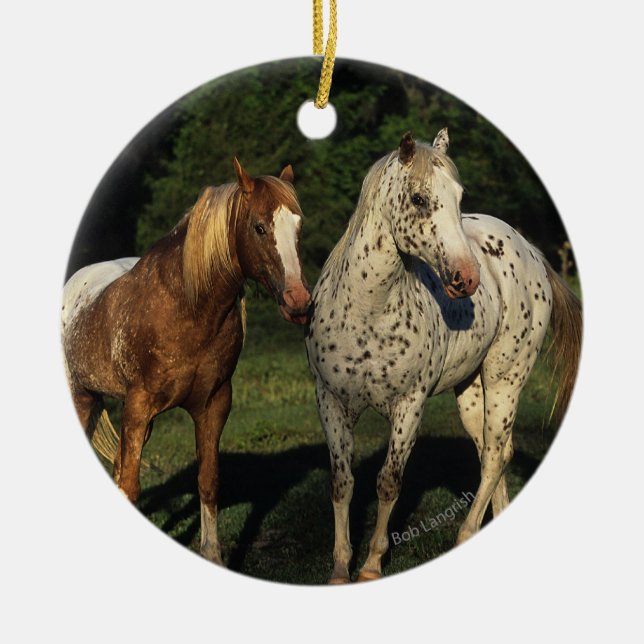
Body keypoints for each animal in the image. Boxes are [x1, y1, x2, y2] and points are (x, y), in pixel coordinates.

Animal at [62, 158, 311, 565]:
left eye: (299, 227)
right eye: (259, 227)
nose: (299, 301)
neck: (187, 308)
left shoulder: (213, 405)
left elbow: (207, 482)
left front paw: (213, 554)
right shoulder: (138, 406)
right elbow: (131, 485)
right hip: (83, 400)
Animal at [305, 130, 582, 583]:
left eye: (459, 196)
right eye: (419, 199)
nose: (466, 278)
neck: (367, 309)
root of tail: (530, 250)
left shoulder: (409, 406)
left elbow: (389, 482)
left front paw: (371, 566)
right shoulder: (331, 402)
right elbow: (342, 483)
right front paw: (340, 569)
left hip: (504, 380)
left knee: (495, 454)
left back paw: (465, 533)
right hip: (471, 392)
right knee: (493, 452)